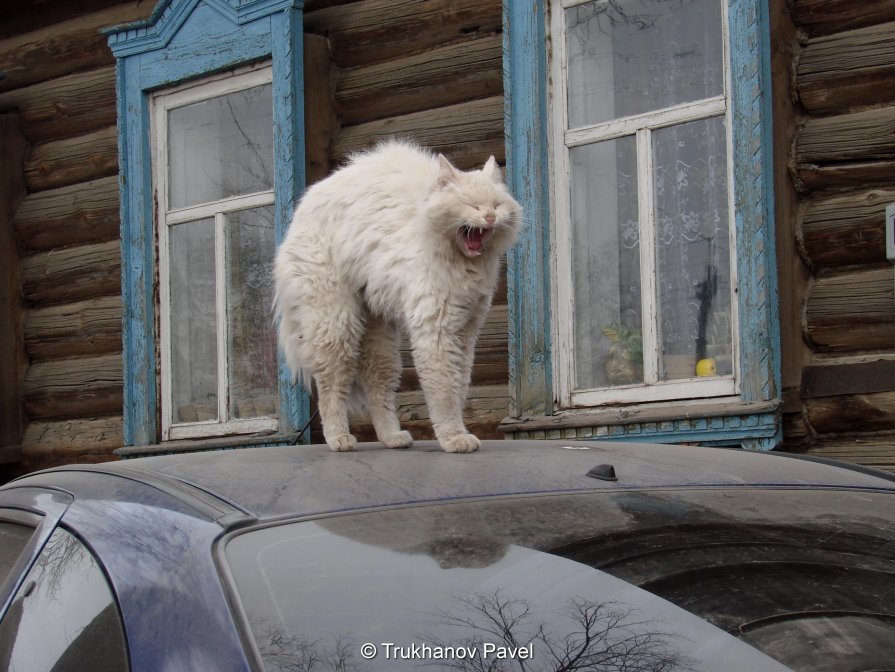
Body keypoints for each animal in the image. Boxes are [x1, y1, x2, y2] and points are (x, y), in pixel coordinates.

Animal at [276, 139, 520, 454]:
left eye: (496, 205)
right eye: (471, 205)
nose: (489, 217)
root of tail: (300, 213)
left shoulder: (465, 332)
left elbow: (459, 386)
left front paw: (457, 432)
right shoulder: (437, 331)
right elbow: (443, 392)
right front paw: (453, 438)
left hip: (378, 330)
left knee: (377, 384)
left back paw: (392, 437)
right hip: (337, 324)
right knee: (330, 386)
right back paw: (339, 439)